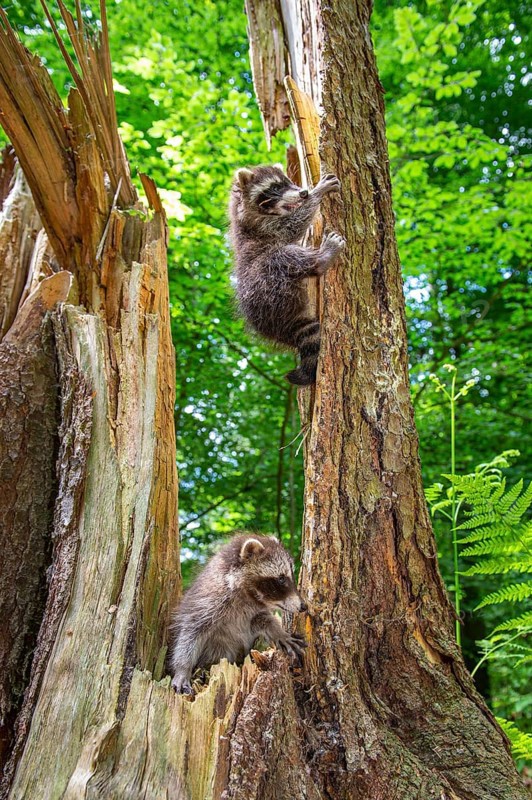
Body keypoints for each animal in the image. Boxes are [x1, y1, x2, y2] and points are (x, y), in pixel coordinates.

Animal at [170, 533, 307, 694]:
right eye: (281, 579)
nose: (304, 606)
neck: (249, 596)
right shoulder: (206, 601)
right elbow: (190, 633)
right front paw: (183, 668)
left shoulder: (253, 612)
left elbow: (263, 620)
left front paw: (278, 632)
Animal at [229, 165, 345, 385]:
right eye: (275, 187)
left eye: (290, 182)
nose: (304, 193)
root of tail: (280, 326)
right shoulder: (263, 227)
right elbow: (292, 225)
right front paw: (317, 193)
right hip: (264, 283)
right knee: (281, 256)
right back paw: (322, 259)